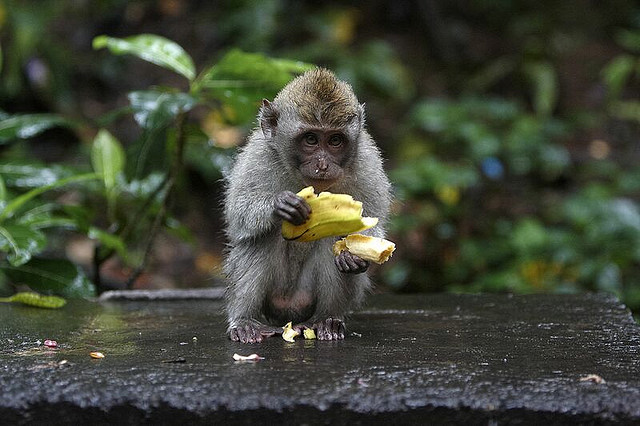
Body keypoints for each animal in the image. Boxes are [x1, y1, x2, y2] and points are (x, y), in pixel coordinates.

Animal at [222, 68, 392, 344]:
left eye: (335, 141)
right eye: (311, 139)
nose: (322, 165)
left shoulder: (367, 160)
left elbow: (374, 218)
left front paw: (354, 254)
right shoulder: (258, 154)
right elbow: (238, 214)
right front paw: (280, 205)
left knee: (329, 238)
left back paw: (326, 320)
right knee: (261, 238)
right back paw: (245, 321)